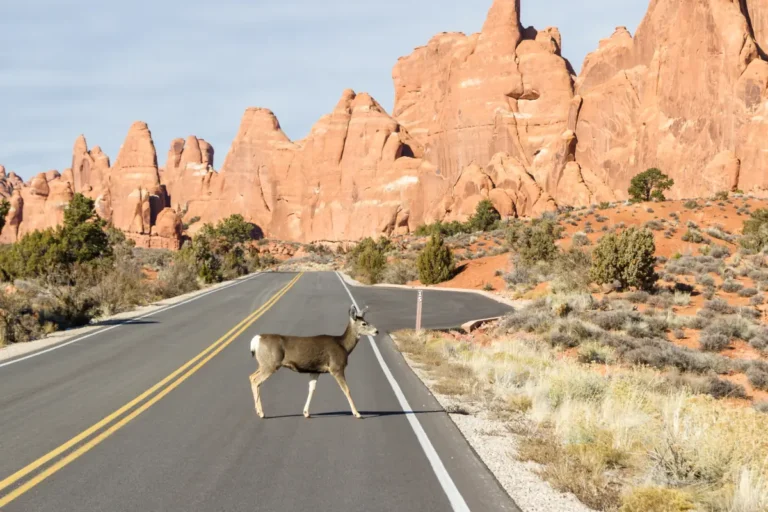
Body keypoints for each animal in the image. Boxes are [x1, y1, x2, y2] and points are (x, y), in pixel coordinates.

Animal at [248, 305, 378, 419]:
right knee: (256, 380)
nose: (376, 331)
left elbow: (311, 389)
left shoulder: (315, 370)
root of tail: (256, 340)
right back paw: (261, 413)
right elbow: (346, 389)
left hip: (264, 363)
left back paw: (258, 410)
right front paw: (357, 413)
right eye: (364, 323)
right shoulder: (336, 367)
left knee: (251, 376)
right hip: (271, 364)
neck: (343, 346)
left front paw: (306, 412)